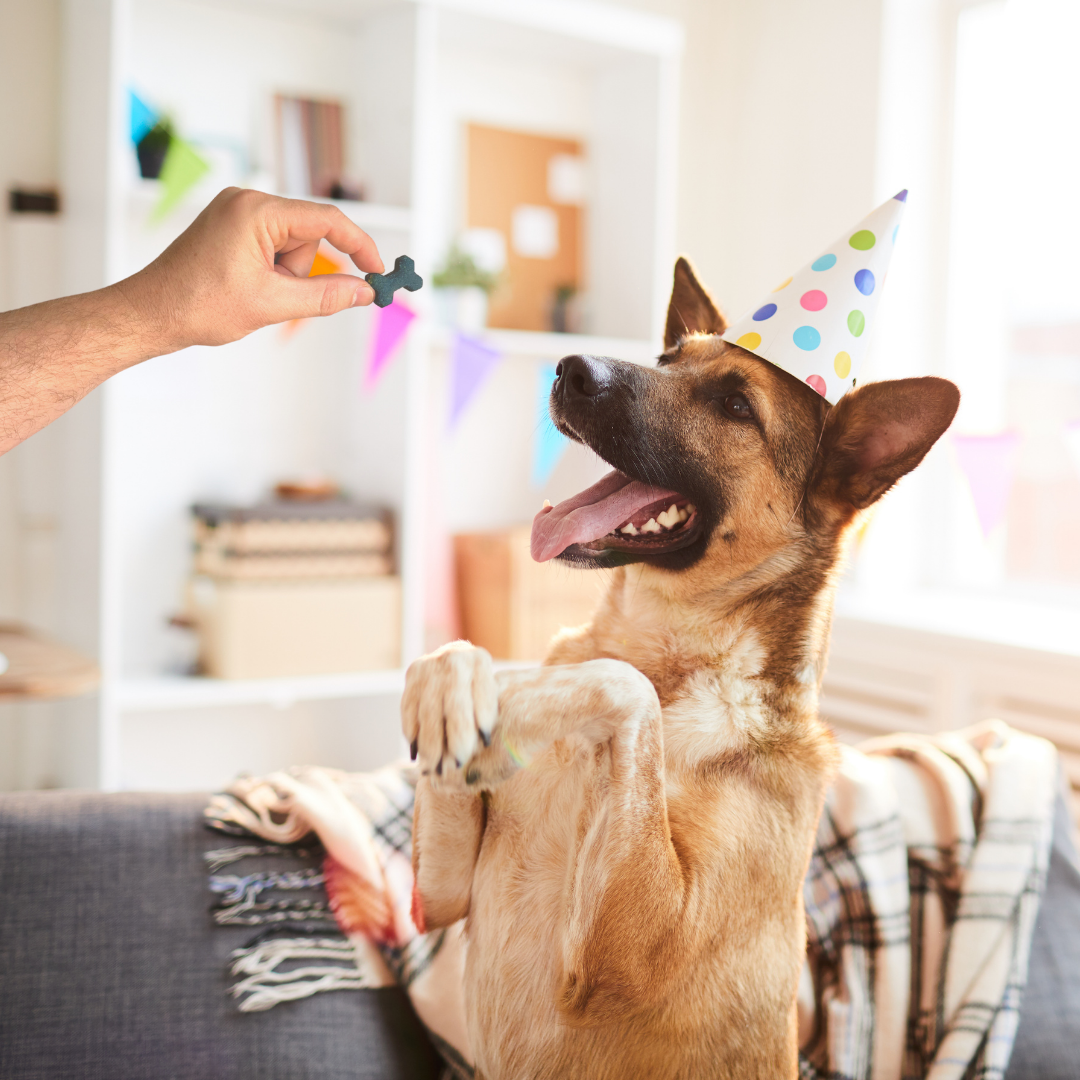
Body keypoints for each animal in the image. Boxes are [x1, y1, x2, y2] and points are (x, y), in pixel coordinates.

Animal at [401, 257, 959, 1075]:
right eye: (667, 360)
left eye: (735, 404)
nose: (571, 368)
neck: (660, 646)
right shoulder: (436, 900)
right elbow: (460, 657)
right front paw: (453, 691)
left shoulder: (637, 949)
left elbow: (620, 686)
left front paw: (525, 697)